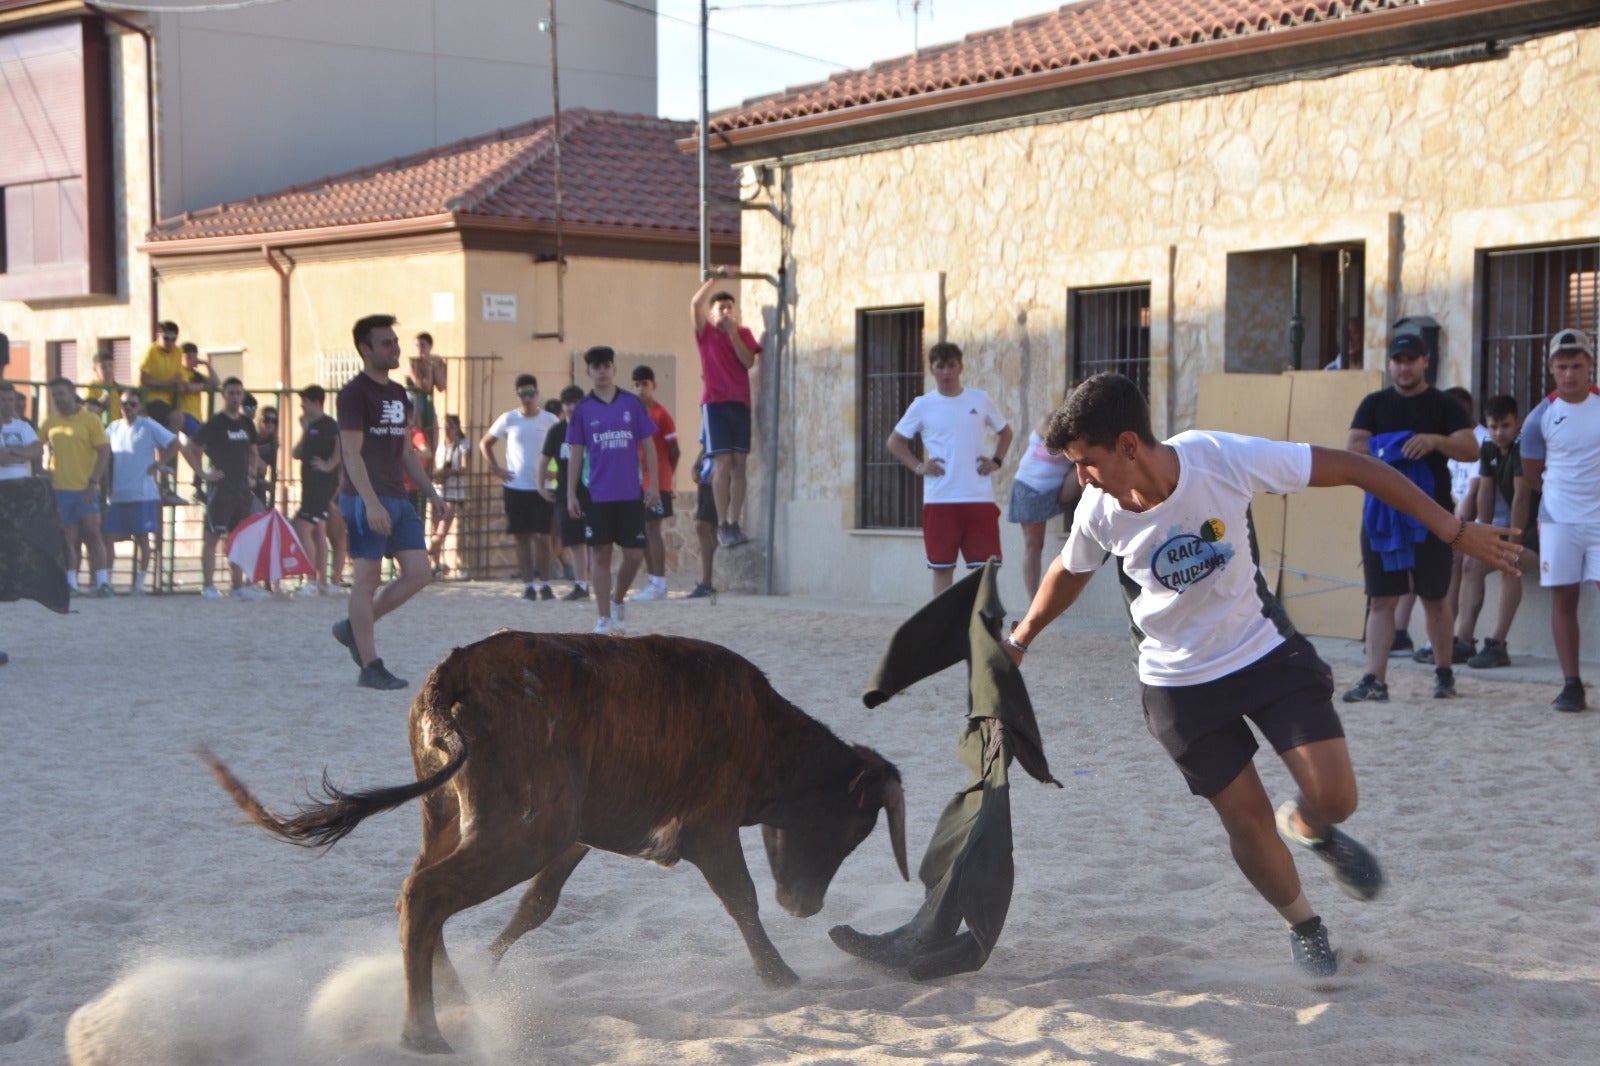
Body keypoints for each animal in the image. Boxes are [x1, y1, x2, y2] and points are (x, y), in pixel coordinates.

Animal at [200, 627, 908, 1049]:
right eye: (850, 829)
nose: (806, 906)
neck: (764, 733)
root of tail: (451, 680)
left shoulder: (578, 837)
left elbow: (537, 906)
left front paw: (490, 965)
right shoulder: (707, 828)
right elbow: (741, 896)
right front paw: (779, 976)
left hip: (457, 818)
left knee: (417, 894)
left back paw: (456, 995)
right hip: (520, 833)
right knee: (425, 895)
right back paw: (424, 1033)